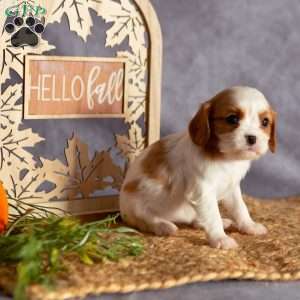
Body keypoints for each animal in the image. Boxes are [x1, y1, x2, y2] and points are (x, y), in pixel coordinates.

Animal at [119, 86, 276, 248]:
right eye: (232, 119)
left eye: (265, 122)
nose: (252, 138)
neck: (226, 158)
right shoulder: (203, 191)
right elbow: (213, 216)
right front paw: (220, 238)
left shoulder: (231, 188)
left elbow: (240, 207)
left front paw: (249, 226)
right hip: (135, 206)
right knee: (146, 219)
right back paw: (163, 226)